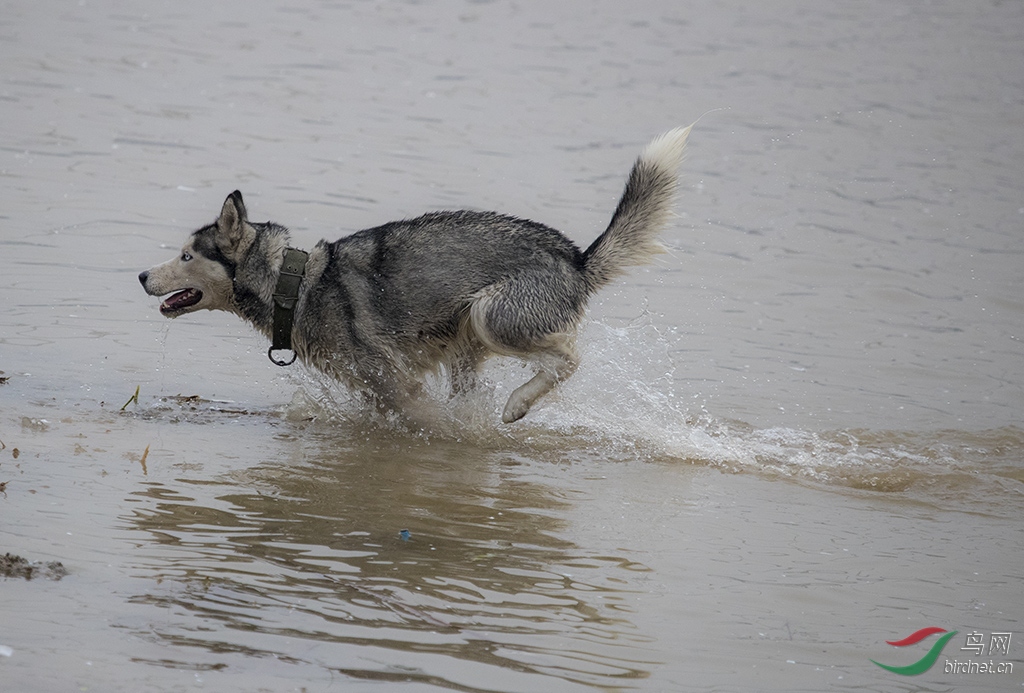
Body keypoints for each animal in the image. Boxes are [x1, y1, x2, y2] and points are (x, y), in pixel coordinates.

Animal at [140, 126, 692, 423]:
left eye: (186, 256)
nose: (142, 276)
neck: (292, 286)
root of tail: (574, 257)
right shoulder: (376, 389)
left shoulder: (397, 386)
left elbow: (425, 418)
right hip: (469, 343)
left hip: (492, 316)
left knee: (569, 359)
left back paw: (517, 405)